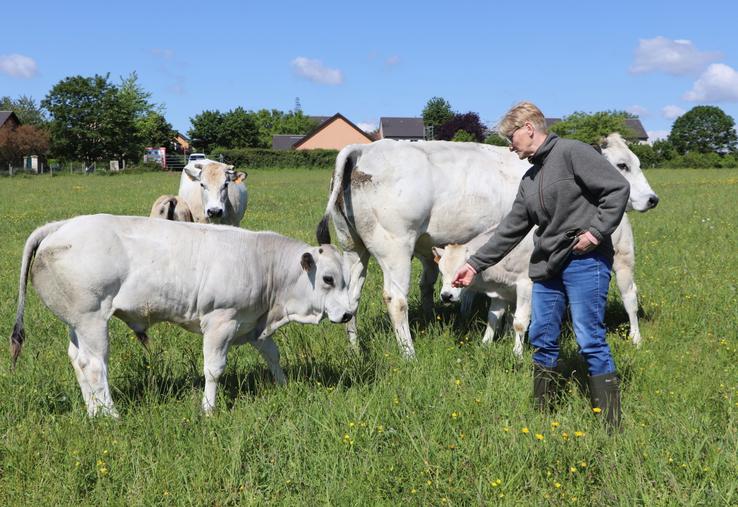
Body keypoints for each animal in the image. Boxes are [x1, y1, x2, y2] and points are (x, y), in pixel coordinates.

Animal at [9, 215, 353, 417]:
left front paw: (283, 386)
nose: (349, 314)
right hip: (92, 320)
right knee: (94, 365)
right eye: (328, 279)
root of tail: (61, 226)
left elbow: (273, 355)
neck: (262, 262)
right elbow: (213, 370)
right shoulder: (220, 322)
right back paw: (112, 415)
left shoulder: (251, 324)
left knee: (77, 360)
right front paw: (208, 409)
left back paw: (94, 412)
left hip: (76, 324)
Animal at [432, 213, 641, 358]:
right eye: (441, 271)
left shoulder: (527, 285)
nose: (446, 296)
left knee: (629, 298)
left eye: (460, 271)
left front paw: (517, 353)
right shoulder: (501, 292)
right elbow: (494, 318)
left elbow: (519, 322)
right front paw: (485, 345)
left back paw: (636, 338)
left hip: (623, 262)